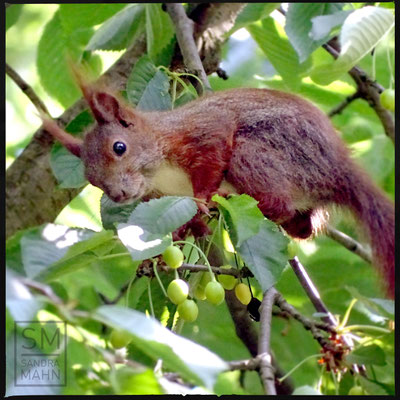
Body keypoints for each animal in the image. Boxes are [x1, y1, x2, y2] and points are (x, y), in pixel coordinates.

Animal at [39, 77, 394, 296]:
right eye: (91, 178)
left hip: (258, 154)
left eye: (119, 147)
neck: (160, 173)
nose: (117, 194)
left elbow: (213, 151)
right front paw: (175, 240)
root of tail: (338, 170)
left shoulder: (201, 132)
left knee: (277, 202)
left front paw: (202, 199)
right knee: (302, 228)